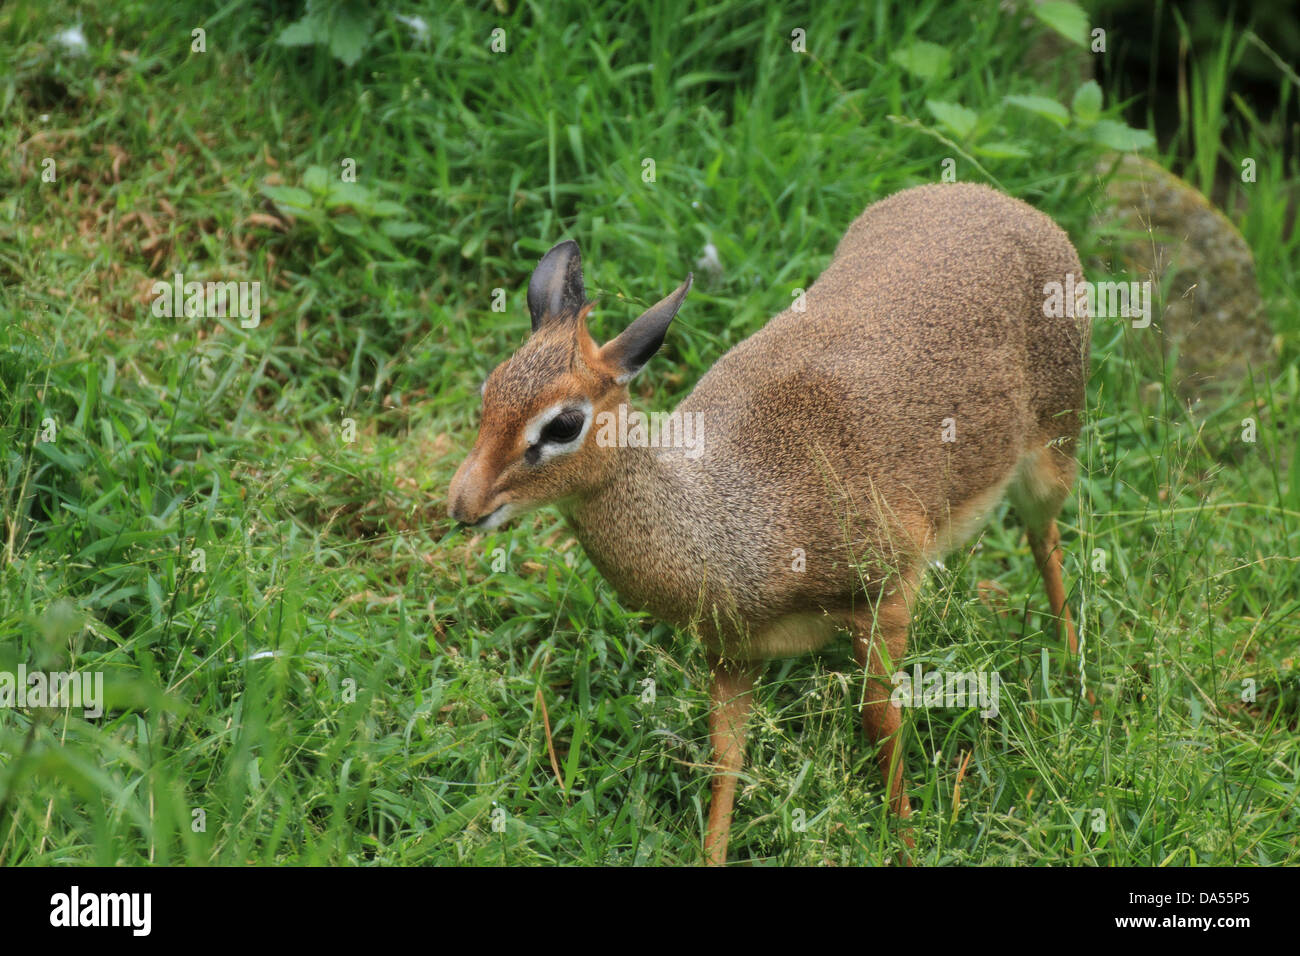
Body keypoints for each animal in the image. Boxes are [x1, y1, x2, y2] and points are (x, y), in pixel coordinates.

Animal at [452, 183, 1092, 863]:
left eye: (564, 423)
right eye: (490, 390)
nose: (462, 505)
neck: (734, 519)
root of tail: (993, 199)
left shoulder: (887, 600)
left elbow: (883, 723)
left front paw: (908, 841)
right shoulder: (732, 654)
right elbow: (725, 755)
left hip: (1051, 457)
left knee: (1046, 541)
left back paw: (1082, 685)